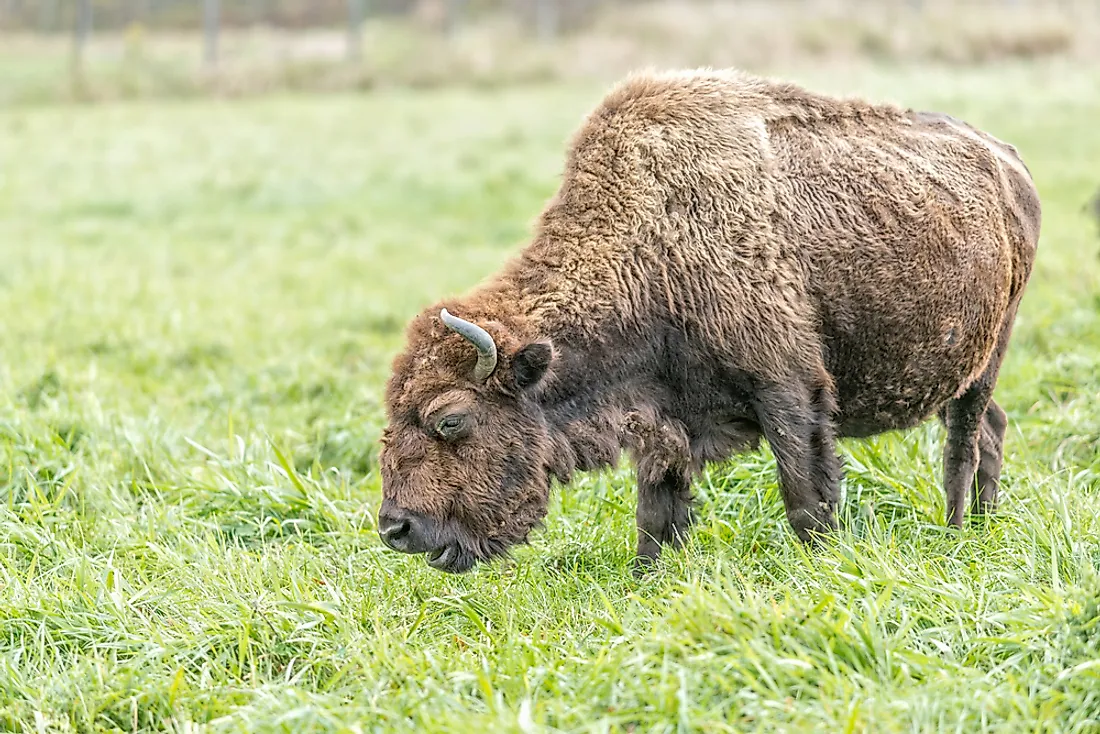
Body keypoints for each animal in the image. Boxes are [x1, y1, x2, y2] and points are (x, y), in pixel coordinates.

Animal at [376, 68, 1038, 572]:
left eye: (450, 420)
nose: (395, 529)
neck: (651, 248)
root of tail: (1010, 163)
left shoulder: (790, 390)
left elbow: (804, 497)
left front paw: (821, 562)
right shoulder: (660, 419)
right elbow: (655, 515)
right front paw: (647, 576)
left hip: (989, 351)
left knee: (962, 444)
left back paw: (956, 532)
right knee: (992, 427)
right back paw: (984, 526)